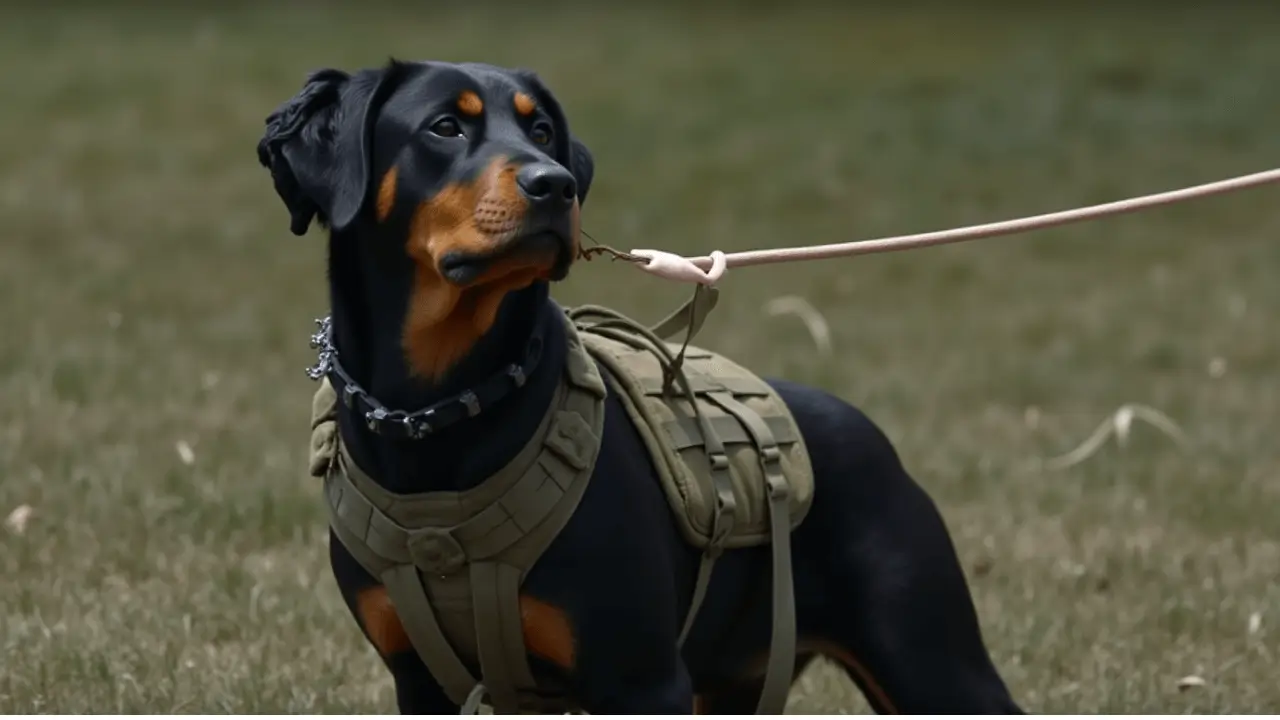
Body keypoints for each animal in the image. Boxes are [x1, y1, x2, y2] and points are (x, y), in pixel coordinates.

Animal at [254, 61, 1024, 712]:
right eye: (445, 126)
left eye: (542, 130)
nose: (555, 184)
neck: (439, 410)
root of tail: (868, 431)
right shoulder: (420, 679)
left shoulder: (640, 675)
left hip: (930, 655)